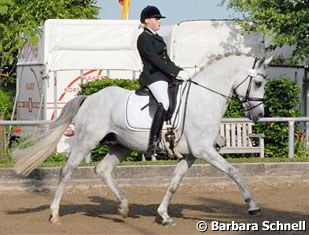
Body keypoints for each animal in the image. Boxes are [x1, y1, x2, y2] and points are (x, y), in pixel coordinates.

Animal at [14, 53, 270, 226]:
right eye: (258, 83)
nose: (258, 115)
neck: (203, 98)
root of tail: (91, 97)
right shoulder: (205, 150)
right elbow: (233, 171)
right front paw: (253, 207)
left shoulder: (190, 156)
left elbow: (174, 183)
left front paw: (163, 215)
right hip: (87, 140)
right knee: (67, 171)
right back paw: (55, 213)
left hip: (121, 146)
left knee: (103, 170)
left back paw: (123, 207)